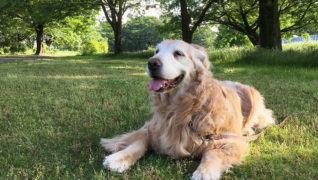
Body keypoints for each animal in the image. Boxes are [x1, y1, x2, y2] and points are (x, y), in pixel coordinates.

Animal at [100, 40, 274, 179]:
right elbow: (139, 140)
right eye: (156, 51)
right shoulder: (156, 128)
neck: (182, 109)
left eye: (178, 53)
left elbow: (213, 153)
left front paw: (204, 173)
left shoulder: (229, 140)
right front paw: (118, 157)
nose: (152, 63)